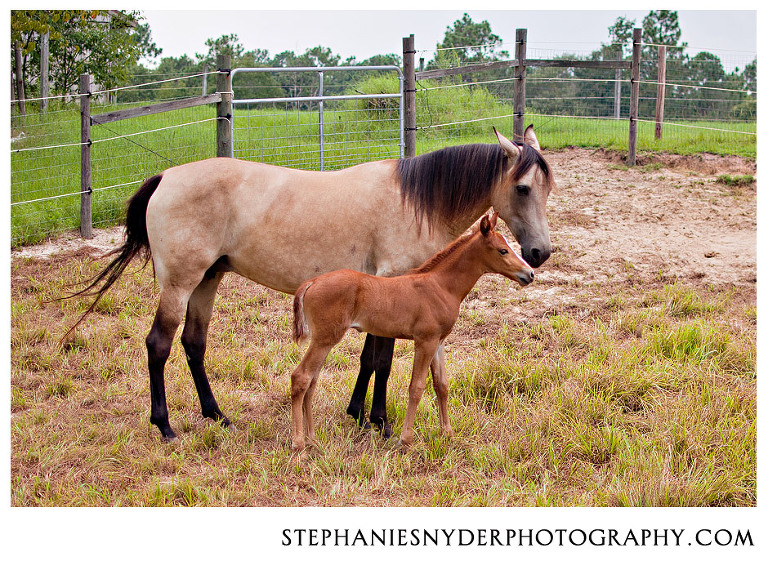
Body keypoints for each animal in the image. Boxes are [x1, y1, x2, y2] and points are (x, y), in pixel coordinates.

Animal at [291, 212, 533, 450]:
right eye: (502, 250)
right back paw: (299, 442)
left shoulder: (438, 342)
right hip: (325, 338)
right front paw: (405, 440)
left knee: (312, 380)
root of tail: (311, 282)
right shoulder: (425, 341)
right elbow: (416, 387)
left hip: (323, 340)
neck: (441, 286)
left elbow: (442, 385)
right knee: (301, 377)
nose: (529, 273)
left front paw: (448, 434)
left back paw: (312, 438)